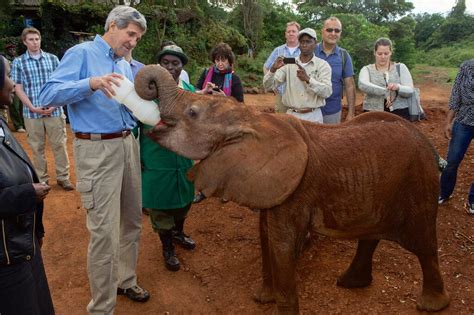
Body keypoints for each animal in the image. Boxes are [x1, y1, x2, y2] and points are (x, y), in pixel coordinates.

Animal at [134, 65, 452, 315]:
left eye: (192, 112)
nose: (148, 88)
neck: (251, 119)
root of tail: (430, 146)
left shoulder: (296, 191)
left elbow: (282, 244)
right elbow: (265, 236)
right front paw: (263, 299)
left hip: (418, 182)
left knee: (423, 243)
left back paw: (432, 305)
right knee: (372, 235)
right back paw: (350, 282)